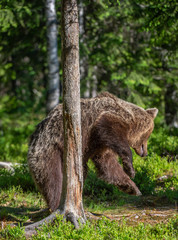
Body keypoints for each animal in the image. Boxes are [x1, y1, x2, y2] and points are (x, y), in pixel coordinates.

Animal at [28, 93, 159, 211]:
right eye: (148, 135)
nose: (145, 153)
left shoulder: (100, 146)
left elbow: (108, 165)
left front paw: (132, 188)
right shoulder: (102, 122)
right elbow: (111, 130)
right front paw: (130, 170)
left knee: (81, 172)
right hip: (49, 147)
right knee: (52, 178)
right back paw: (56, 205)